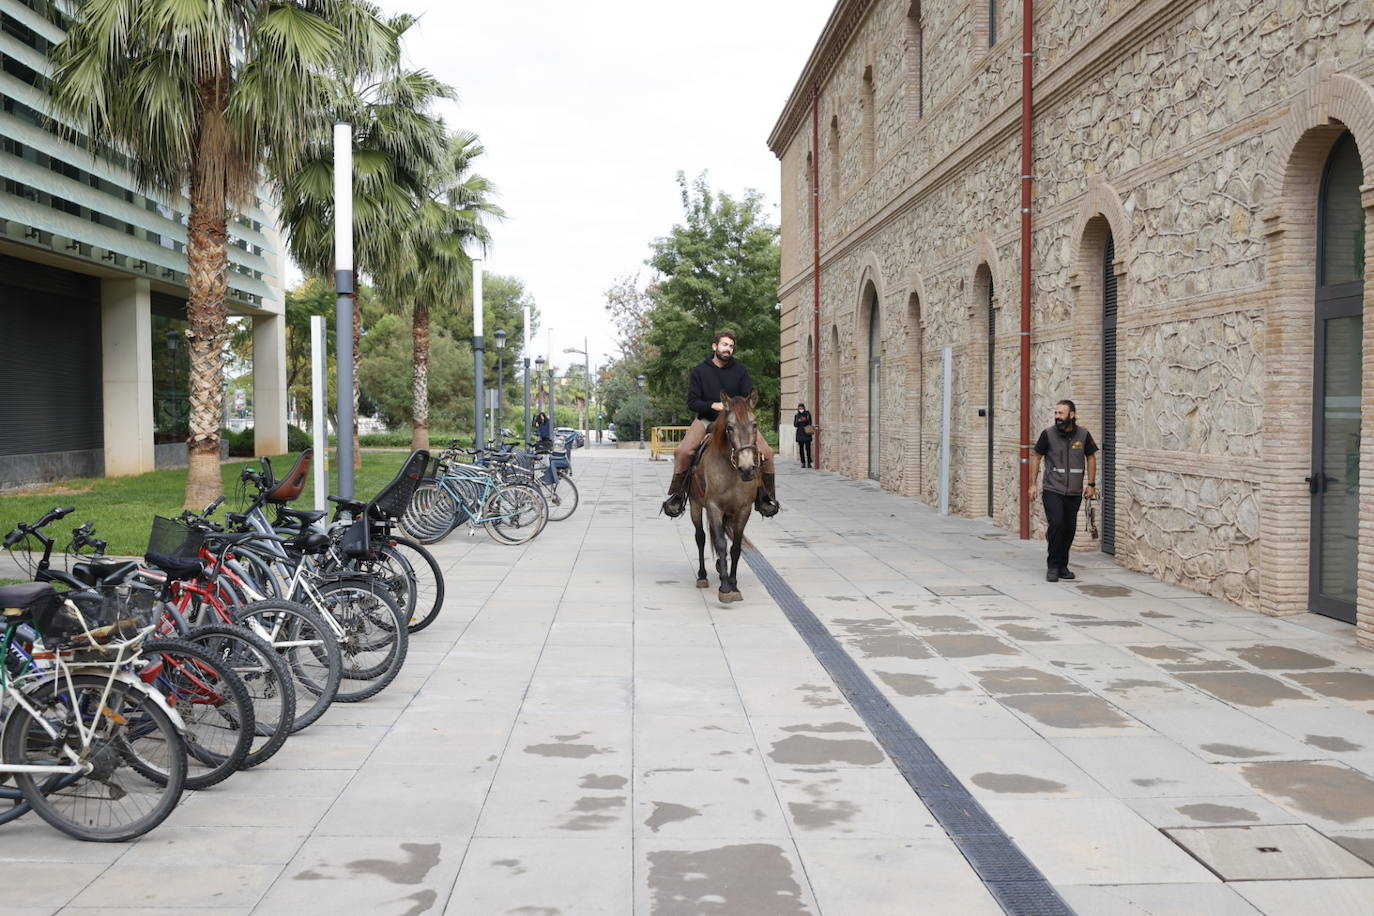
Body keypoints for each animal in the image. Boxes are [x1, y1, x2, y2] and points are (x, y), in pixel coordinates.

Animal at [687, 392, 763, 601]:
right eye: (729, 428)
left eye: (755, 424)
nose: (747, 469)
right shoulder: (713, 506)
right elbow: (720, 543)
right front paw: (725, 588)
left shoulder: (743, 509)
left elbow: (735, 546)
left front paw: (733, 584)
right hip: (695, 505)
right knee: (701, 537)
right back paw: (702, 576)